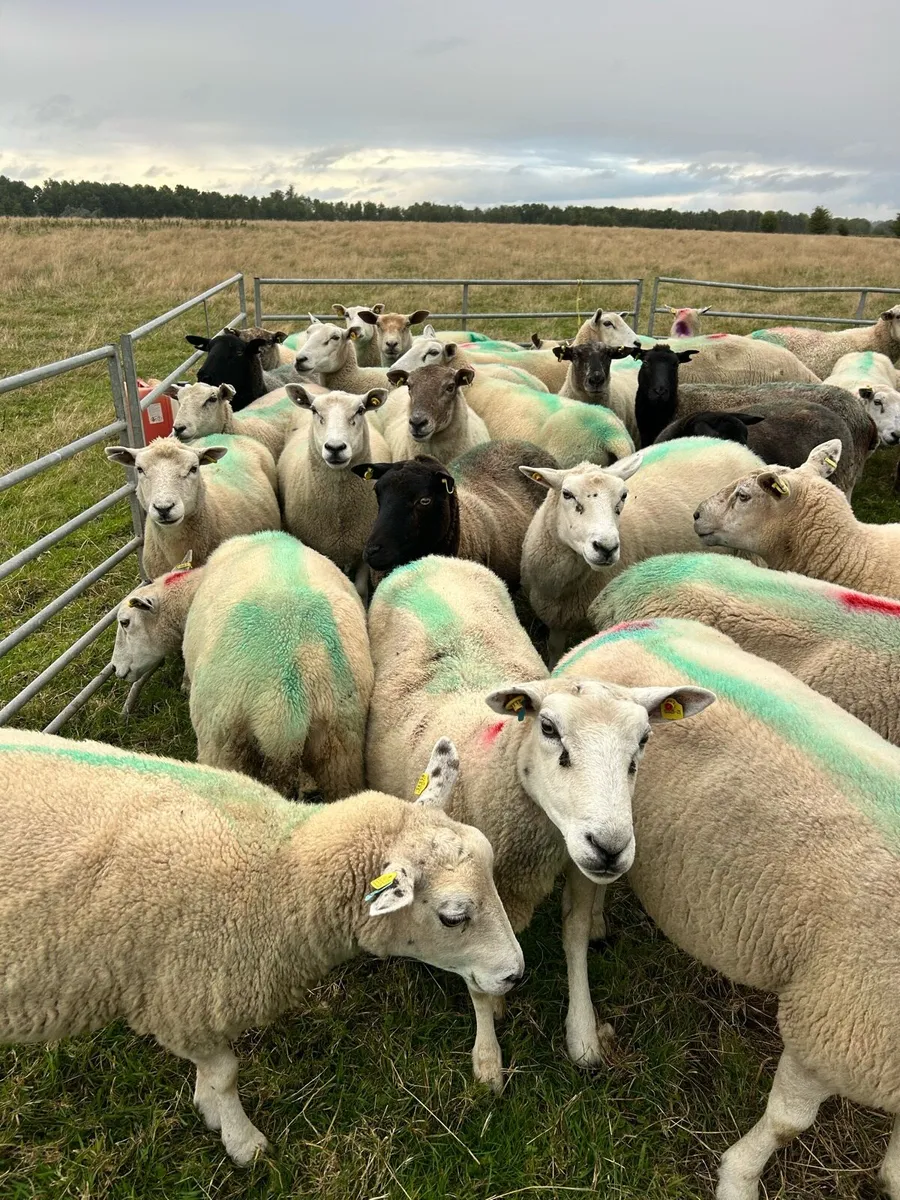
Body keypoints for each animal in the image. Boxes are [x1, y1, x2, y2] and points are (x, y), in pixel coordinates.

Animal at [0, 726, 524, 1165]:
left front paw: (208, 1107)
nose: (515, 974)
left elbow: (212, 1073)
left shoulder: (193, 998)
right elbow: (226, 1074)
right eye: (453, 916)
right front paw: (243, 1142)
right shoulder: (181, 1000)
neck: (277, 869)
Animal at [278, 385, 390, 596]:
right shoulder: (323, 548)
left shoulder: (363, 547)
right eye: (314, 410)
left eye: (360, 410)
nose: (335, 447)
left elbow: (360, 589)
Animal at [366, 556, 715, 1088]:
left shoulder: (575, 863)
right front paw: (488, 1058)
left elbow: (574, 936)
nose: (610, 846)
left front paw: (583, 1034)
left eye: (644, 740)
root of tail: (431, 559)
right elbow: (477, 975)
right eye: (548, 728)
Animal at [520, 438, 764, 664]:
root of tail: (738, 446)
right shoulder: (556, 618)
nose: (606, 547)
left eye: (623, 496)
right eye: (567, 494)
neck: (565, 587)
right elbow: (554, 651)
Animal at [554, 616, 900, 1199]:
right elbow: (787, 1124)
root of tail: (622, 629)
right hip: (583, 832)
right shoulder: (831, 1025)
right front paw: (737, 1178)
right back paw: (583, 1033)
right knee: (573, 929)